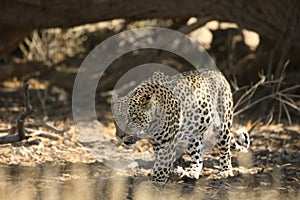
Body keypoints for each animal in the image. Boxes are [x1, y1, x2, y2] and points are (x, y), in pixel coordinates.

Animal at [111, 69, 250, 185]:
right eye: (115, 121)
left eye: (132, 119)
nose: (119, 136)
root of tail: (217, 72)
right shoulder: (157, 142)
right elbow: (161, 161)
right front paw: (171, 172)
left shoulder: (167, 142)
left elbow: (162, 165)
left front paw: (157, 183)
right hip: (195, 133)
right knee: (198, 155)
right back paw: (192, 172)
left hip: (222, 124)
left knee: (226, 150)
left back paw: (225, 171)